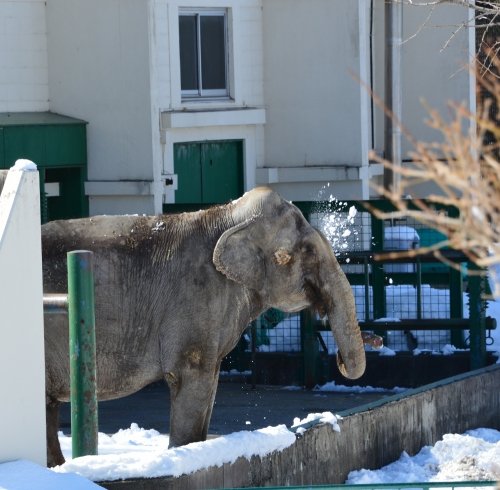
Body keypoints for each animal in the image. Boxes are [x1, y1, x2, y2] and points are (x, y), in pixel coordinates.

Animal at [41, 187, 366, 468]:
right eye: (307, 252)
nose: (337, 357)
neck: (228, 216)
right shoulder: (195, 296)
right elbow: (190, 375)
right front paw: (182, 457)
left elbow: (211, 381)